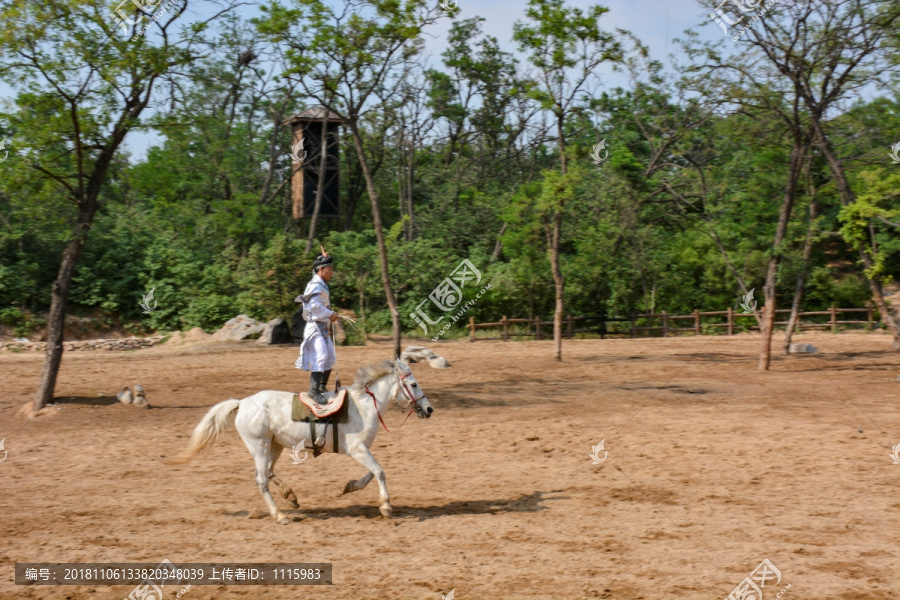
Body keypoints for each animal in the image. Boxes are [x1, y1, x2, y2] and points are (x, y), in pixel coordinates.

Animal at [171, 358, 438, 524]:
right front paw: (386, 507)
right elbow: (380, 472)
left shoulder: (362, 451)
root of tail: (242, 402)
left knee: (269, 473)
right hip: (259, 446)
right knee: (261, 480)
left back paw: (291, 497)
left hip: (275, 446)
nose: (429, 409)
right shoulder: (357, 450)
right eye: (413, 384)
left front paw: (350, 486)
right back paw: (280, 515)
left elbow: (372, 474)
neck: (363, 406)